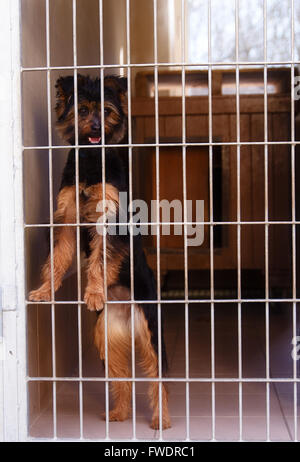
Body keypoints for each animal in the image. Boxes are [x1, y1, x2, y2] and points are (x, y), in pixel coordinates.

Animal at [29, 73, 172, 430]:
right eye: (82, 110)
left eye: (105, 111)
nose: (95, 128)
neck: (91, 159)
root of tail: (123, 307)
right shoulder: (67, 218)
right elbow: (57, 258)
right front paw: (44, 291)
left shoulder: (110, 221)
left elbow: (99, 259)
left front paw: (93, 292)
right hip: (107, 338)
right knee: (120, 378)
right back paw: (120, 413)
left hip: (150, 329)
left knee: (157, 377)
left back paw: (162, 420)